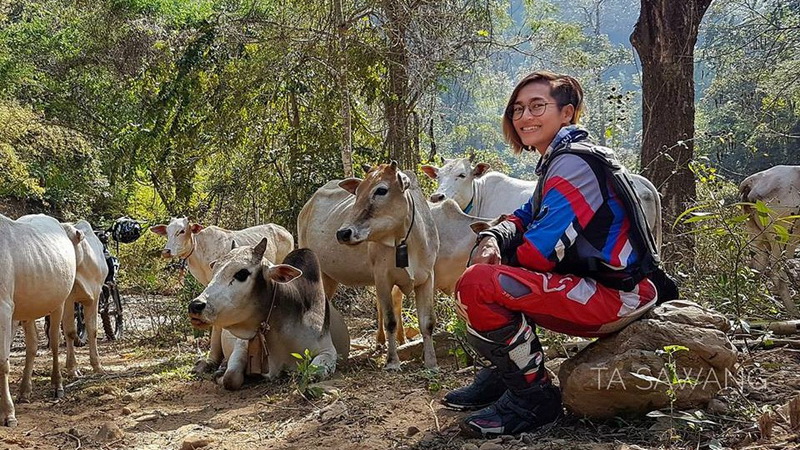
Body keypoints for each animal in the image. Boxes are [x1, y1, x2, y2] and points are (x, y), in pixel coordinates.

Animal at [0, 213, 82, 428]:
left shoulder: (4, 309)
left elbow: (2, 361)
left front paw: (8, 413)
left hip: (59, 303)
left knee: (54, 342)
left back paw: (57, 385)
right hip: (28, 309)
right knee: (32, 346)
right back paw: (24, 391)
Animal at [189, 241, 352, 382]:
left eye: (241, 273)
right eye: (214, 271)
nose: (195, 306)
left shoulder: (328, 351)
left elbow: (315, 373)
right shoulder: (243, 343)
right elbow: (231, 377)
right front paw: (222, 371)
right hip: (216, 329)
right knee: (212, 357)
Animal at [736, 165, 800, 316]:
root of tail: (752, 181)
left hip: (756, 234)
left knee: (755, 268)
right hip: (783, 235)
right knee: (776, 272)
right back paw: (793, 311)